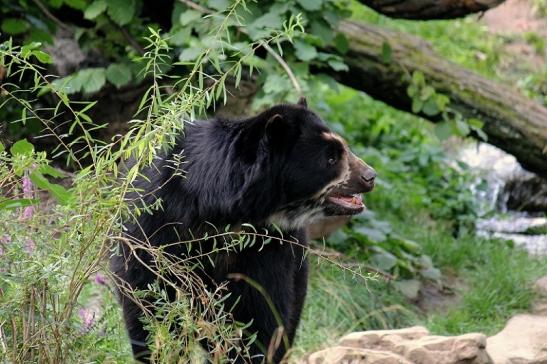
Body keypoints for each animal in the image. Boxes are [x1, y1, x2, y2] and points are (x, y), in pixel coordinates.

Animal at [111, 97, 376, 364]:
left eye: (343, 148)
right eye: (330, 159)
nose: (370, 176)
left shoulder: (267, 245)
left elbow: (259, 312)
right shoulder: (154, 224)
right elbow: (149, 299)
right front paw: (161, 350)